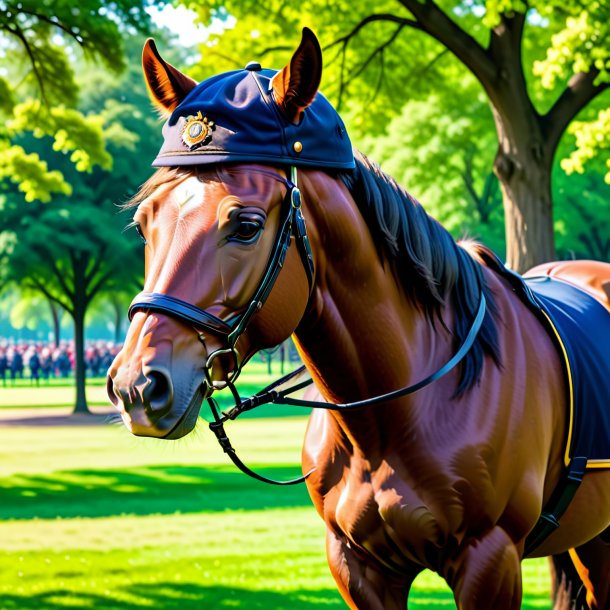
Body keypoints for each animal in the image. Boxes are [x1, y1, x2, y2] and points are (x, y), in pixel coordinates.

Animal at [107, 28, 608, 608]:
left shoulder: (490, 562)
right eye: (144, 224)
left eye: (246, 225)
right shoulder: (358, 567)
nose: (138, 385)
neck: (396, 416)